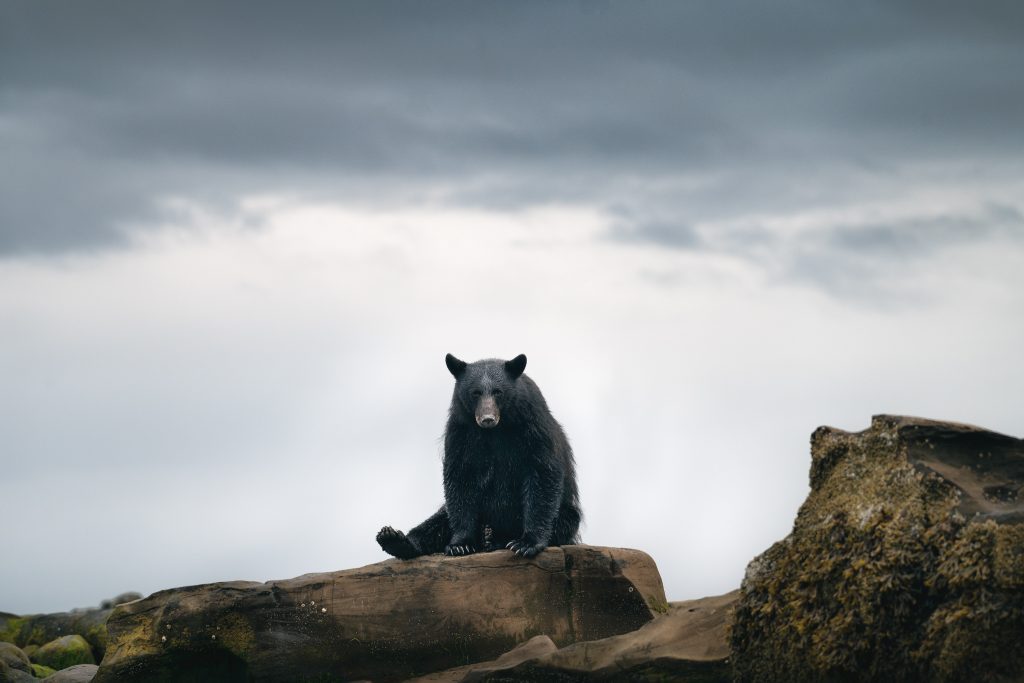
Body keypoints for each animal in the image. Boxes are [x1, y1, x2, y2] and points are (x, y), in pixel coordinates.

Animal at [376, 353, 581, 559]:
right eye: (475, 392)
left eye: (498, 392)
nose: (487, 419)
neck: (495, 431)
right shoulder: (461, 432)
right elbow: (459, 480)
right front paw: (460, 544)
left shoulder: (533, 426)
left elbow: (542, 473)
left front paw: (526, 543)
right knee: (438, 520)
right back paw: (394, 539)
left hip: (568, 514)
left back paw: (493, 539)